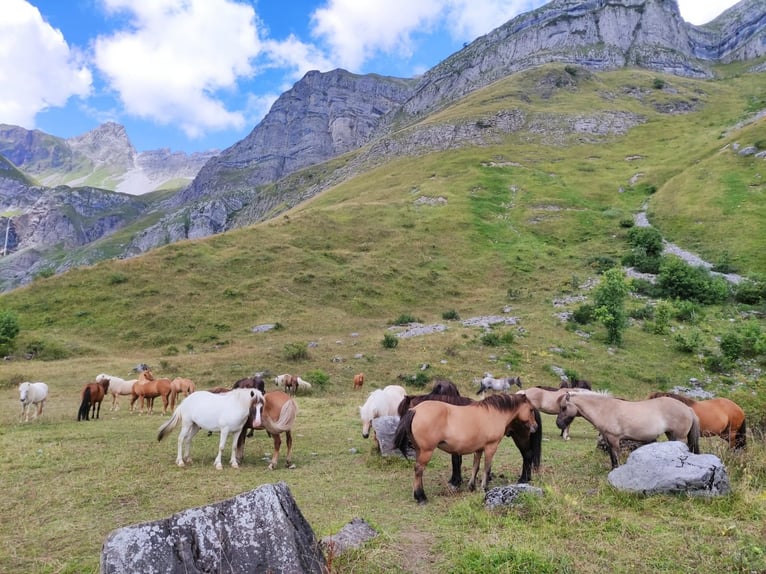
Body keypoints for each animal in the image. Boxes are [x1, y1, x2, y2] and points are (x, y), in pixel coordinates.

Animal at [393, 393, 540, 504]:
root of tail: (415, 410)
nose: (535, 426)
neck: (493, 413)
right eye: (531, 409)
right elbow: (486, 468)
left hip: (420, 450)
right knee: (419, 470)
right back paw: (421, 497)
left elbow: (476, 467)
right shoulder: (490, 447)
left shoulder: (479, 449)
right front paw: (484, 488)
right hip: (426, 451)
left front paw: (471, 486)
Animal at [556, 392, 701, 468]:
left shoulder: (614, 439)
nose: (558, 424)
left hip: (680, 437)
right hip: (671, 435)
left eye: (564, 407)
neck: (605, 409)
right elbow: (612, 457)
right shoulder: (608, 439)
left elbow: (616, 456)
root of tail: (688, 408)